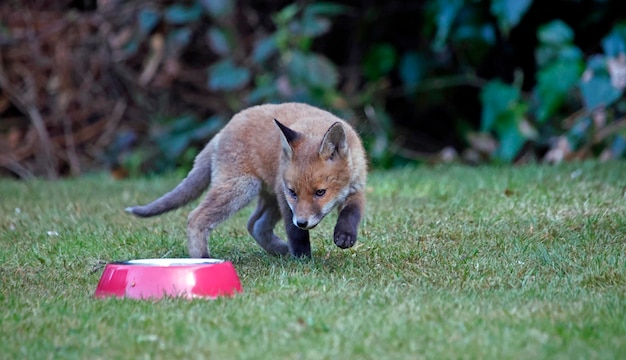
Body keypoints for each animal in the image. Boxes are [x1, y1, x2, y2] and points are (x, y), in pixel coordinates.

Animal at [125, 102, 366, 258]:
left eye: (320, 192)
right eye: (293, 192)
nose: (303, 222)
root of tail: (223, 129)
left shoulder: (357, 188)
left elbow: (351, 213)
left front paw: (345, 236)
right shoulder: (285, 198)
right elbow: (295, 233)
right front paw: (303, 259)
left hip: (266, 196)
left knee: (255, 225)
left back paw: (279, 250)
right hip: (241, 189)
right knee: (196, 218)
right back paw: (203, 259)